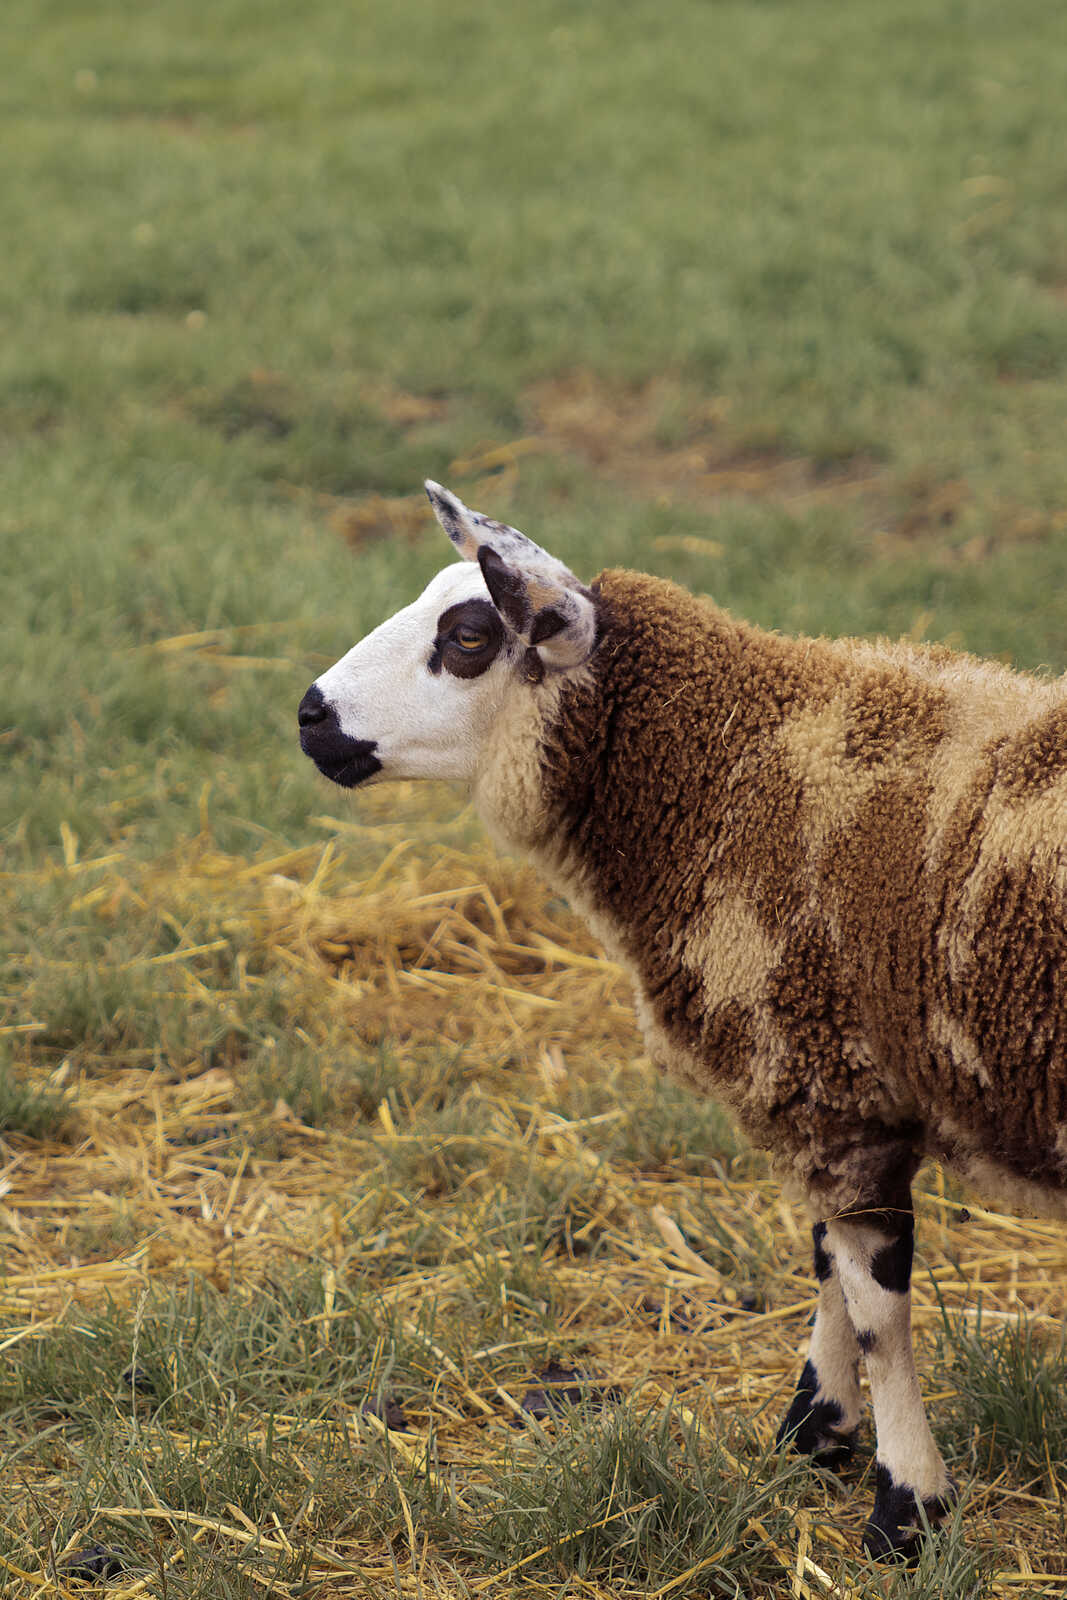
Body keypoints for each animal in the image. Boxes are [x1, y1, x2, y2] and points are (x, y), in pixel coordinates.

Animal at [298, 481, 1067, 1559]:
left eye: (467, 637)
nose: (309, 716)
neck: (719, 774)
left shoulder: (821, 1078)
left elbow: (877, 1312)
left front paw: (904, 1505)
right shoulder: (824, 1086)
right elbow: (828, 1266)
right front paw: (815, 1430)